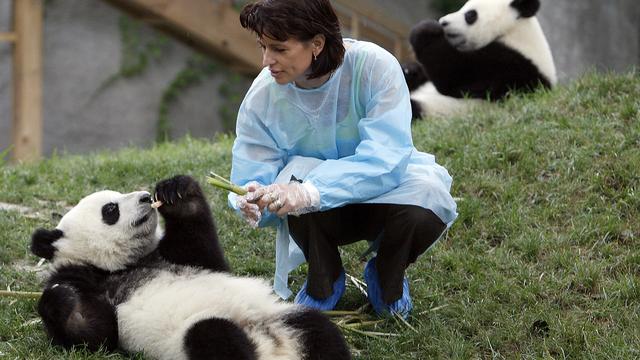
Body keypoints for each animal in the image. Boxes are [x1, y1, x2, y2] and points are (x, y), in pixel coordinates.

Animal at [30, 175, 350, 360]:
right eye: (111, 210)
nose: (145, 197)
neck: (123, 264)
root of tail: (273, 347)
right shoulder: (89, 279)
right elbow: (97, 332)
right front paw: (62, 299)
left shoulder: (180, 257)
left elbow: (204, 247)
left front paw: (176, 191)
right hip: (191, 335)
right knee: (215, 339)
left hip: (282, 319)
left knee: (319, 331)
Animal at [410, 0, 556, 119]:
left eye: (470, 15)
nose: (443, 22)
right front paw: (411, 70)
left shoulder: (510, 68)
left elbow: (454, 77)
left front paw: (426, 30)